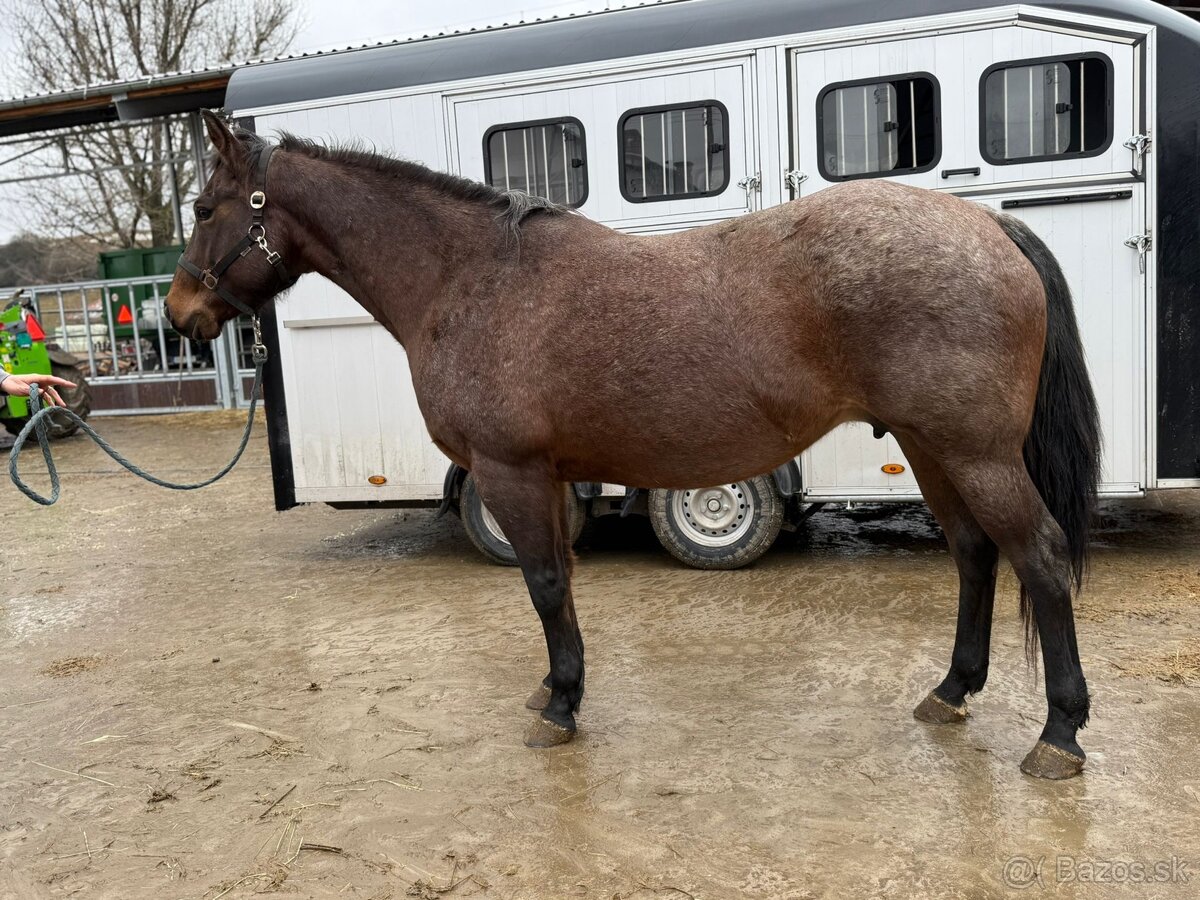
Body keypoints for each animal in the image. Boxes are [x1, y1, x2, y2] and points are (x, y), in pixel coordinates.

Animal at [166, 111, 1100, 780]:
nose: (179, 314)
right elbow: (561, 584)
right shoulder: (546, 476)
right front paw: (556, 689)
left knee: (1041, 556)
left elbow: (545, 585)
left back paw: (1058, 735)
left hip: (975, 453)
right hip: (933, 448)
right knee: (976, 555)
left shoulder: (510, 471)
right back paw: (950, 692)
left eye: (206, 209)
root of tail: (989, 229)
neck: (472, 279)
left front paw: (559, 710)